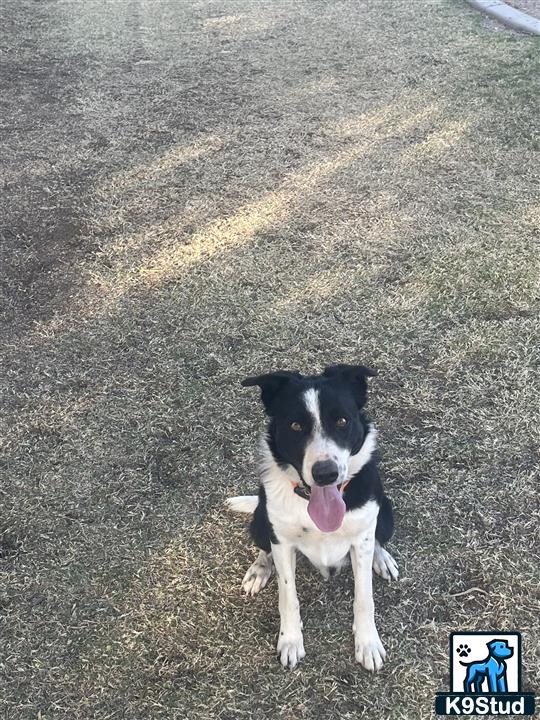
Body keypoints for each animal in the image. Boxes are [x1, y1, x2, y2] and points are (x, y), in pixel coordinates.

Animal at [226, 362, 398, 672]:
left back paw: (382, 558)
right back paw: (259, 569)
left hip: (386, 513)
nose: (325, 473)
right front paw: (290, 640)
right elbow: (287, 596)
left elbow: (364, 596)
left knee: (378, 539)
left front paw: (367, 643)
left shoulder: (363, 537)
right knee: (263, 547)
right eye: (295, 426)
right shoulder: (282, 543)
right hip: (260, 520)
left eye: (342, 421)